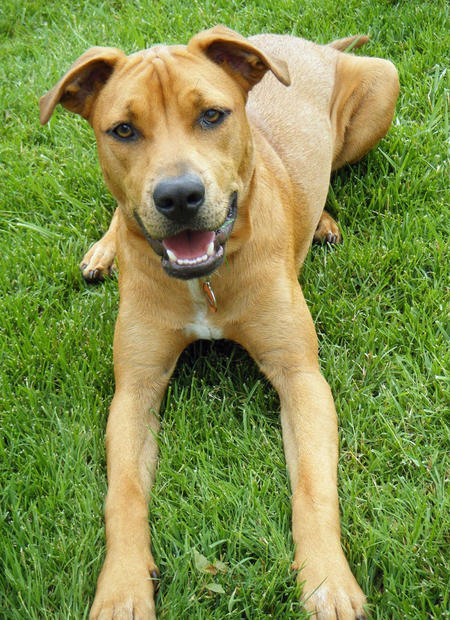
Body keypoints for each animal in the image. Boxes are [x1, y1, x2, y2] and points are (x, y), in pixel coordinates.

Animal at [38, 26, 398, 616]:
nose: (179, 196)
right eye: (123, 129)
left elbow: (315, 486)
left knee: (332, 170)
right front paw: (122, 588)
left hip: (382, 85)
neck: (204, 280)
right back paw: (104, 250)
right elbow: (123, 495)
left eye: (212, 115)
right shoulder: (135, 389)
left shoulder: (301, 376)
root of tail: (315, 46)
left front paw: (327, 580)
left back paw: (322, 220)